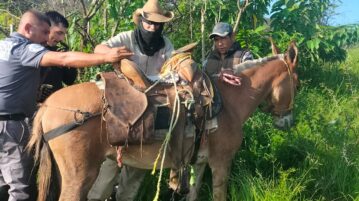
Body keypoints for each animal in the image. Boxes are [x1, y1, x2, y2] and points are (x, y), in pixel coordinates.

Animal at [27, 41, 298, 200]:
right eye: (297, 82)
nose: (287, 122)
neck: (228, 102)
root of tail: (48, 106)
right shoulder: (221, 163)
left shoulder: (199, 162)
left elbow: (193, 193)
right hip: (80, 176)